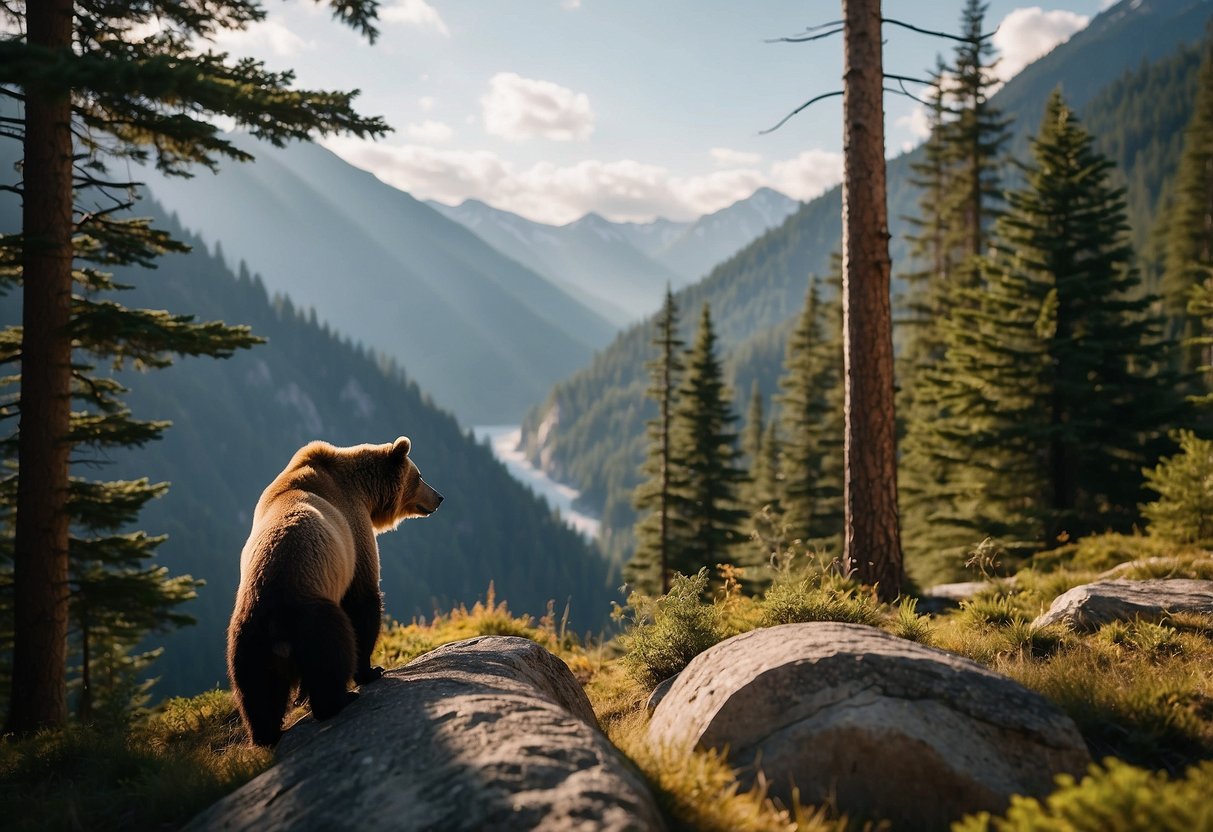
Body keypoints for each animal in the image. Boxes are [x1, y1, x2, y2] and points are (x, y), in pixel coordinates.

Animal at [225, 436, 443, 751]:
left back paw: (266, 734)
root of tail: (276, 623)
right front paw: (371, 671)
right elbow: (363, 601)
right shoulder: (353, 530)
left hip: (248, 640)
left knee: (257, 691)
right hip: (313, 616)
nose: (439, 497)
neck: (362, 489)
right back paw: (339, 699)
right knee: (332, 652)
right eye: (420, 476)